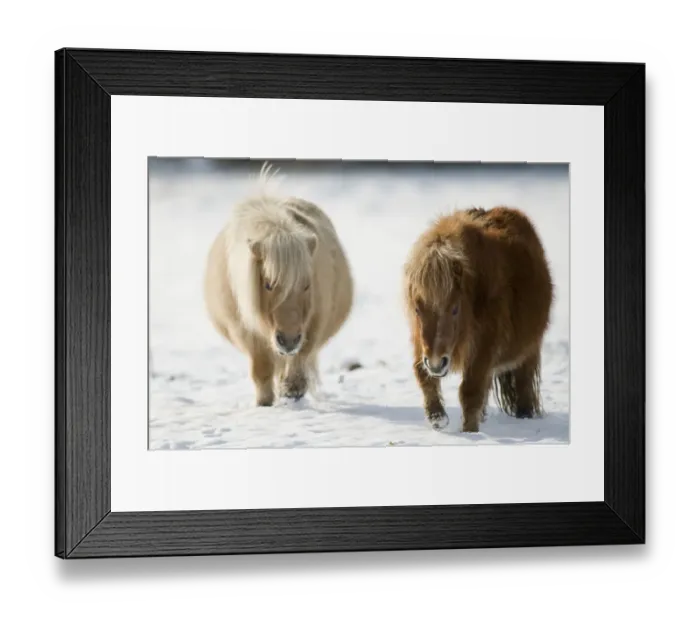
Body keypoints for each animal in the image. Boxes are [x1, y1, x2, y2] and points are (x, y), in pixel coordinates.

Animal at [204, 164, 353, 406]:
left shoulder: (313, 323)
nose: (289, 339)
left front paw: (293, 389)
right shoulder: (246, 331)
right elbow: (261, 370)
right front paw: (264, 403)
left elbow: (301, 356)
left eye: (306, 284)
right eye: (268, 284)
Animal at [403, 206, 553, 433]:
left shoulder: (484, 345)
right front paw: (437, 417)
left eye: (455, 309)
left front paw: (470, 432)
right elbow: (423, 374)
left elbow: (470, 391)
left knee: (524, 384)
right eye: (417, 309)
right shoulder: (421, 343)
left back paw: (524, 415)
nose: (437, 364)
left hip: (528, 350)